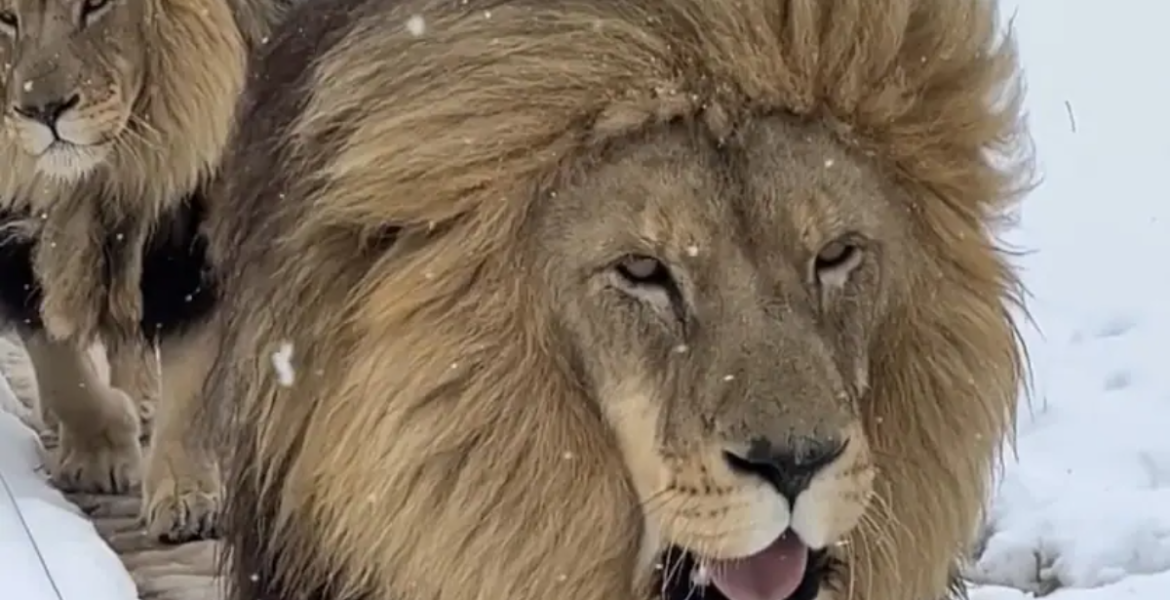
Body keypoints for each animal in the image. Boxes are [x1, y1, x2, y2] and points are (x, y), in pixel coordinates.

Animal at [0, 0, 288, 543]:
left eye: (96, 5)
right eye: (6, 18)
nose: (43, 111)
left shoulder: (195, 212)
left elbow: (192, 372)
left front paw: (187, 497)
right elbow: (55, 357)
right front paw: (100, 450)